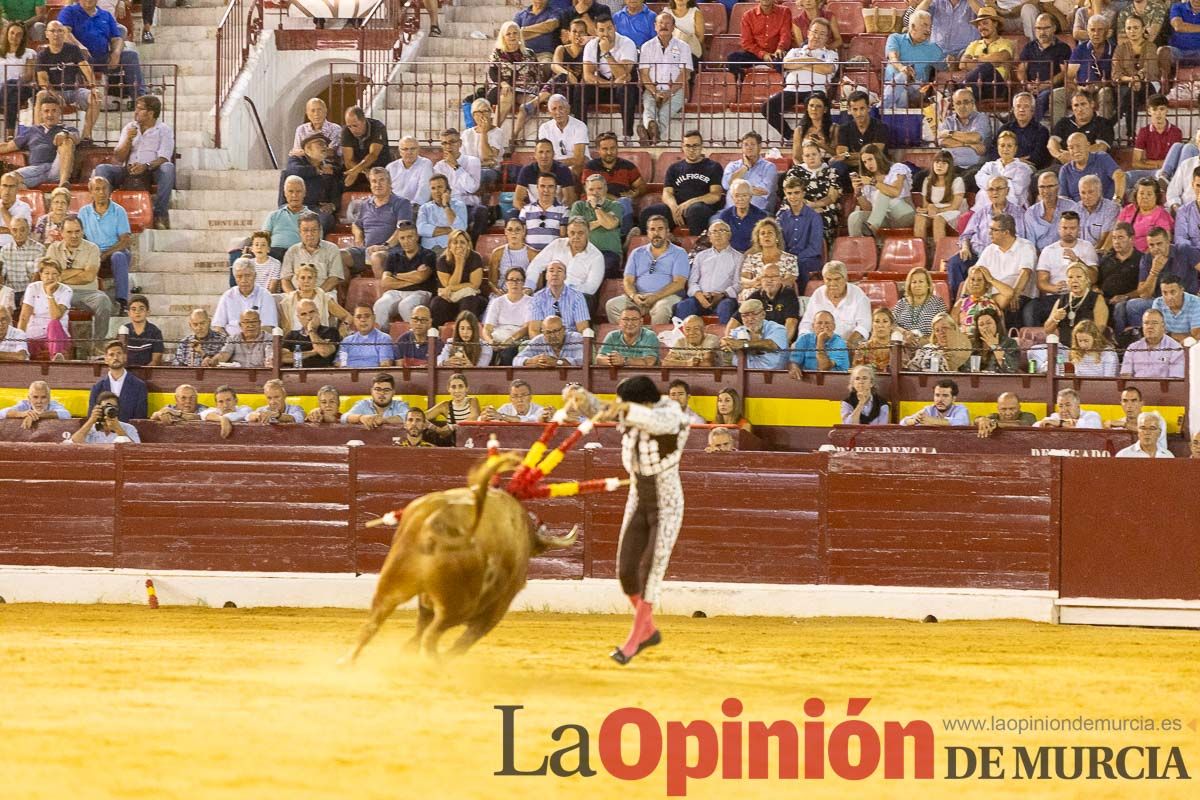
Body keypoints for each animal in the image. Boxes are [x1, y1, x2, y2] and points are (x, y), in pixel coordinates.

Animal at [340, 453, 578, 662]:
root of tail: (434, 519)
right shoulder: (496, 608)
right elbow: (464, 641)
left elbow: (418, 629)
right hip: (458, 604)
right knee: (432, 636)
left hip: (394, 581)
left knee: (373, 624)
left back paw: (347, 662)